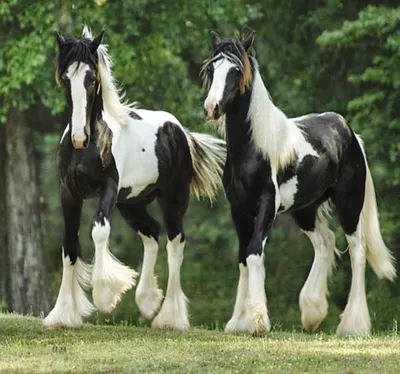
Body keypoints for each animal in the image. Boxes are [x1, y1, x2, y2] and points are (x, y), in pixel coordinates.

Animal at [44, 27, 227, 330]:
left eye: (91, 78)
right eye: (65, 78)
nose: (80, 137)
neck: (90, 147)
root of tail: (179, 130)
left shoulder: (108, 189)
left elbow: (99, 230)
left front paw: (105, 297)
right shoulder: (68, 192)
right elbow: (69, 245)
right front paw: (62, 314)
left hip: (173, 199)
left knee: (175, 243)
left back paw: (170, 317)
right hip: (132, 202)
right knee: (151, 233)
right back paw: (147, 302)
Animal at [202, 30, 396, 336]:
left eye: (235, 70)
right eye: (212, 69)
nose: (212, 108)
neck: (253, 148)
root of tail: (349, 133)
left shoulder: (266, 206)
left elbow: (254, 253)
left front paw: (258, 320)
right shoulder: (238, 209)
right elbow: (243, 258)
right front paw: (238, 321)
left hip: (349, 204)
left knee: (357, 251)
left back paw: (352, 325)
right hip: (306, 210)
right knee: (325, 243)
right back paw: (312, 313)